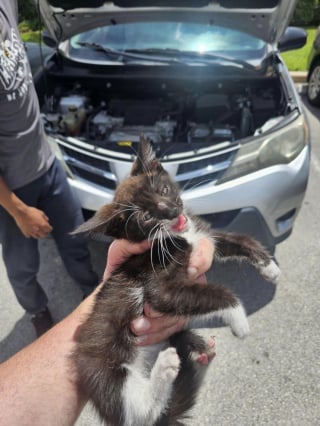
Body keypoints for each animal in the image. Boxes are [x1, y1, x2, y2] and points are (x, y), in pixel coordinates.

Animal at [72, 135, 280, 424]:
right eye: (146, 217)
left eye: (163, 189)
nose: (171, 211)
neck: (178, 236)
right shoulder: (158, 284)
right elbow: (212, 293)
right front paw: (239, 319)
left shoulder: (205, 236)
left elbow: (239, 239)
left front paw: (269, 267)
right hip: (102, 369)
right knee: (141, 412)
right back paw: (166, 367)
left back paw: (199, 349)